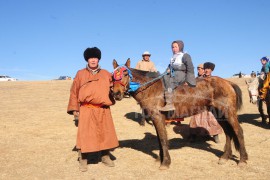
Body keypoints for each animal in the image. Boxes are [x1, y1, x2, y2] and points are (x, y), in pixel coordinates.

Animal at [112, 58, 249, 169]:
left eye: (125, 73)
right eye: (113, 76)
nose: (116, 93)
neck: (151, 89)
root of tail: (228, 82)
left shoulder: (158, 118)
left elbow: (163, 139)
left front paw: (165, 163)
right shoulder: (157, 120)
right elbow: (160, 139)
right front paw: (161, 158)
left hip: (229, 113)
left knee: (238, 132)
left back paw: (242, 160)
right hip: (219, 114)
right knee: (228, 133)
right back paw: (225, 157)